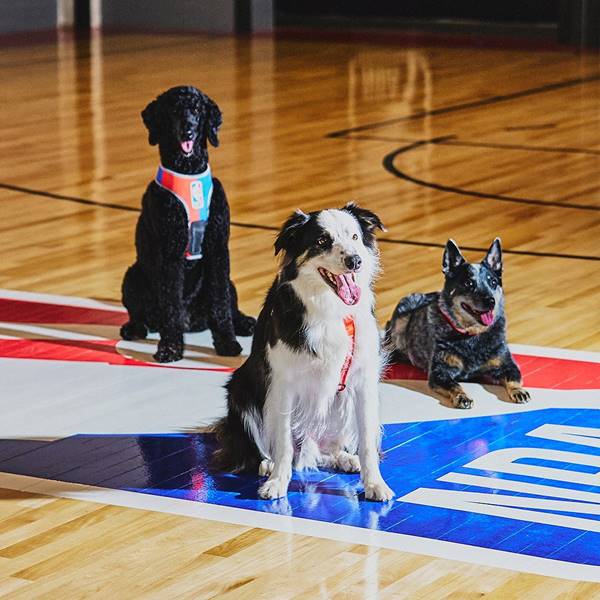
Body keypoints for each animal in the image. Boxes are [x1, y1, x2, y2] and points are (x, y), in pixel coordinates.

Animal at [120, 84, 254, 360]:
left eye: (197, 109)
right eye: (173, 111)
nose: (188, 130)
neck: (189, 173)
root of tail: (192, 321)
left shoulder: (218, 249)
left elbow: (221, 305)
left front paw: (227, 342)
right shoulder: (170, 253)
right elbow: (171, 306)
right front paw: (170, 347)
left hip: (228, 280)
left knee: (229, 303)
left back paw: (243, 322)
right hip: (132, 276)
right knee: (140, 313)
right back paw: (134, 327)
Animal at [214, 203, 394, 502]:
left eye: (355, 237)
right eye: (322, 241)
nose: (355, 261)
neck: (330, 308)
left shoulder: (363, 382)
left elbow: (368, 441)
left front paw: (375, 484)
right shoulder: (282, 385)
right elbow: (283, 442)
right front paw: (277, 482)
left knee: (323, 451)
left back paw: (344, 458)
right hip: (240, 390)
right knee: (265, 448)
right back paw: (268, 463)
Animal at [384, 238, 528, 408]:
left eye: (493, 282)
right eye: (469, 283)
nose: (490, 301)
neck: (472, 335)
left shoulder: (506, 364)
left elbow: (513, 378)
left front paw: (518, 390)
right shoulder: (439, 372)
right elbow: (454, 384)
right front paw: (461, 396)